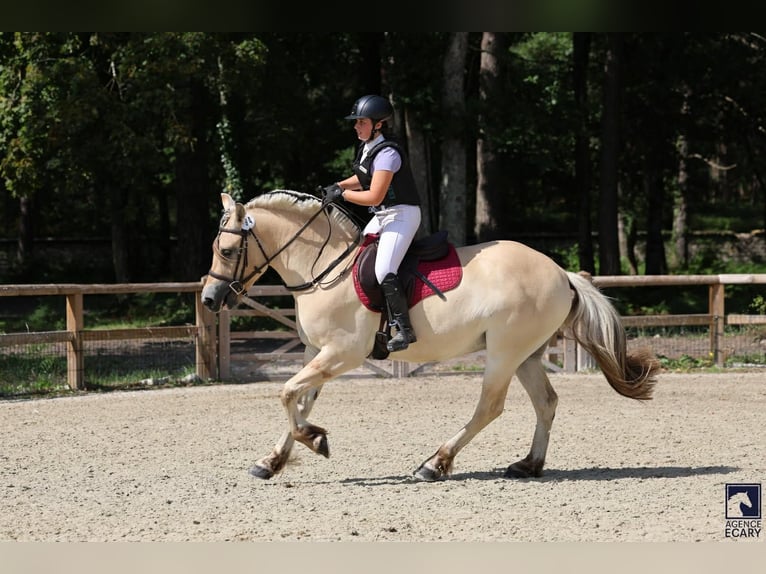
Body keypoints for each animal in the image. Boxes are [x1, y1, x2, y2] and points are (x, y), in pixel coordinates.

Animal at [201, 190, 659, 482]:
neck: (323, 266)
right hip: (526, 355)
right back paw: (528, 465)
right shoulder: (318, 352)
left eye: (227, 251)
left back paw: (435, 463)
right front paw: (274, 460)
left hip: (503, 353)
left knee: (489, 408)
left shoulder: (342, 353)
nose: (209, 299)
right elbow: (298, 399)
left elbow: (287, 394)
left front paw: (315, 440)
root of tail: (561, 273)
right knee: (545, 403)